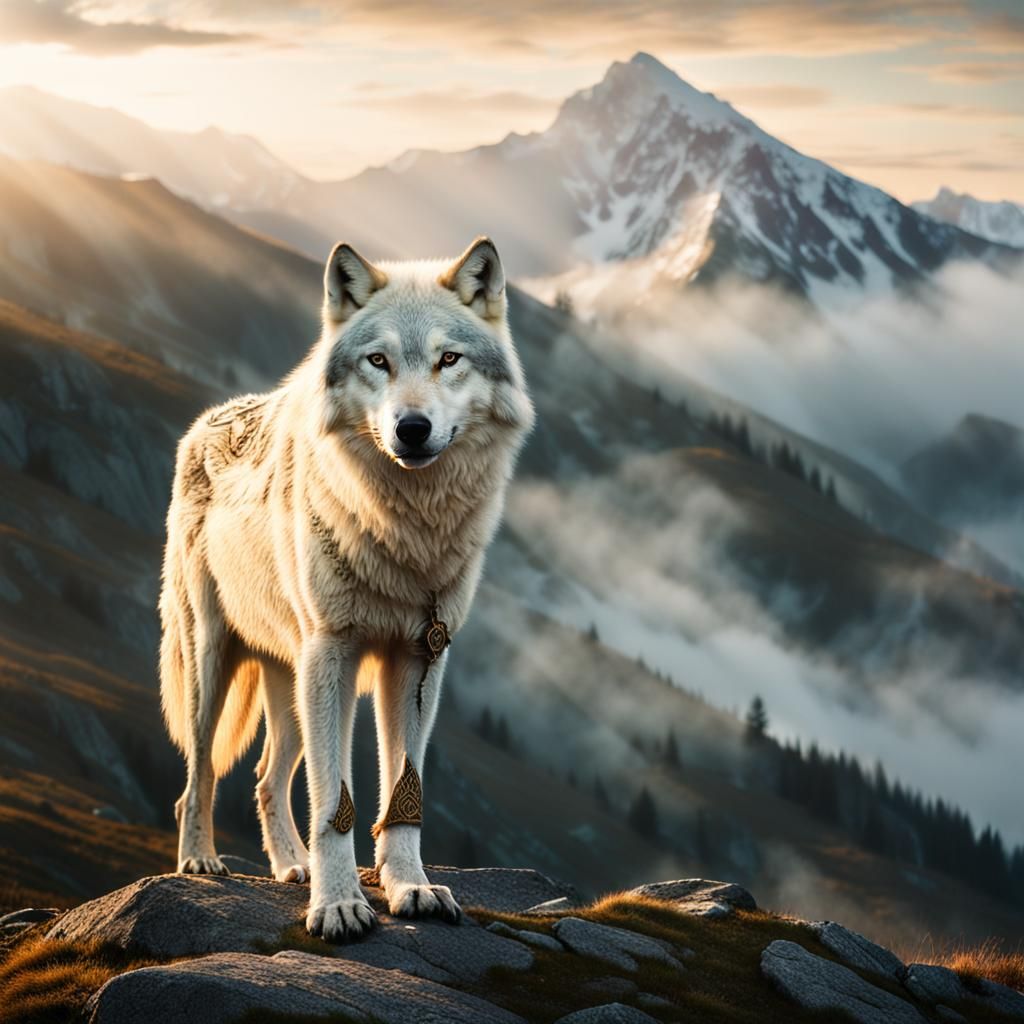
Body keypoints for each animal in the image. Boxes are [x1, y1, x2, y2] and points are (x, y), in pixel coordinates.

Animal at [159, 237, 533, 941]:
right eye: (378, 360)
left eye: (448, 359)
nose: (412, 428)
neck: (406, 530)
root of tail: (202, 423)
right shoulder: (333, 654)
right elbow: (335, 803)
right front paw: (337, 905)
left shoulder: (418, 660)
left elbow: (403, 797)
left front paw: (410, 888)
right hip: (216, 667)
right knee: (197, 778)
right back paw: (200, 861)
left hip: (290, 684)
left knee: (264, 780)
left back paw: (291, 867)